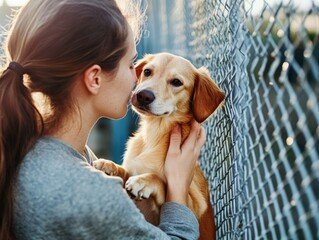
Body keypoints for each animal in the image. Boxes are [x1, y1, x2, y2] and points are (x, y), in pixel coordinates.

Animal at [94, 53, 225, 240]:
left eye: (176, 82)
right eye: (148, 71)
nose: (143, 95)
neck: (154, 135)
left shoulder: (196, 206)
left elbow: (162, 183)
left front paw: (143, 181)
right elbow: (126, 172)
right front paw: (109, 166)